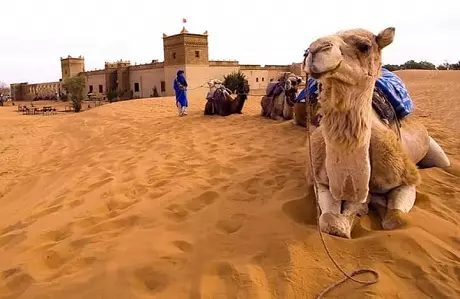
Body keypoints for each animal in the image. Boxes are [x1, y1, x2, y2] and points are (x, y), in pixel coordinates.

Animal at [304, 27, 452, 240]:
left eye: (364, 46)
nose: (314, 49)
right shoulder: (321, 181)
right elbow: (331, 222)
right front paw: (358, 209)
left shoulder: (406, 179)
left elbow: (396, 220)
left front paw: (370, 205)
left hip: (435, 150)